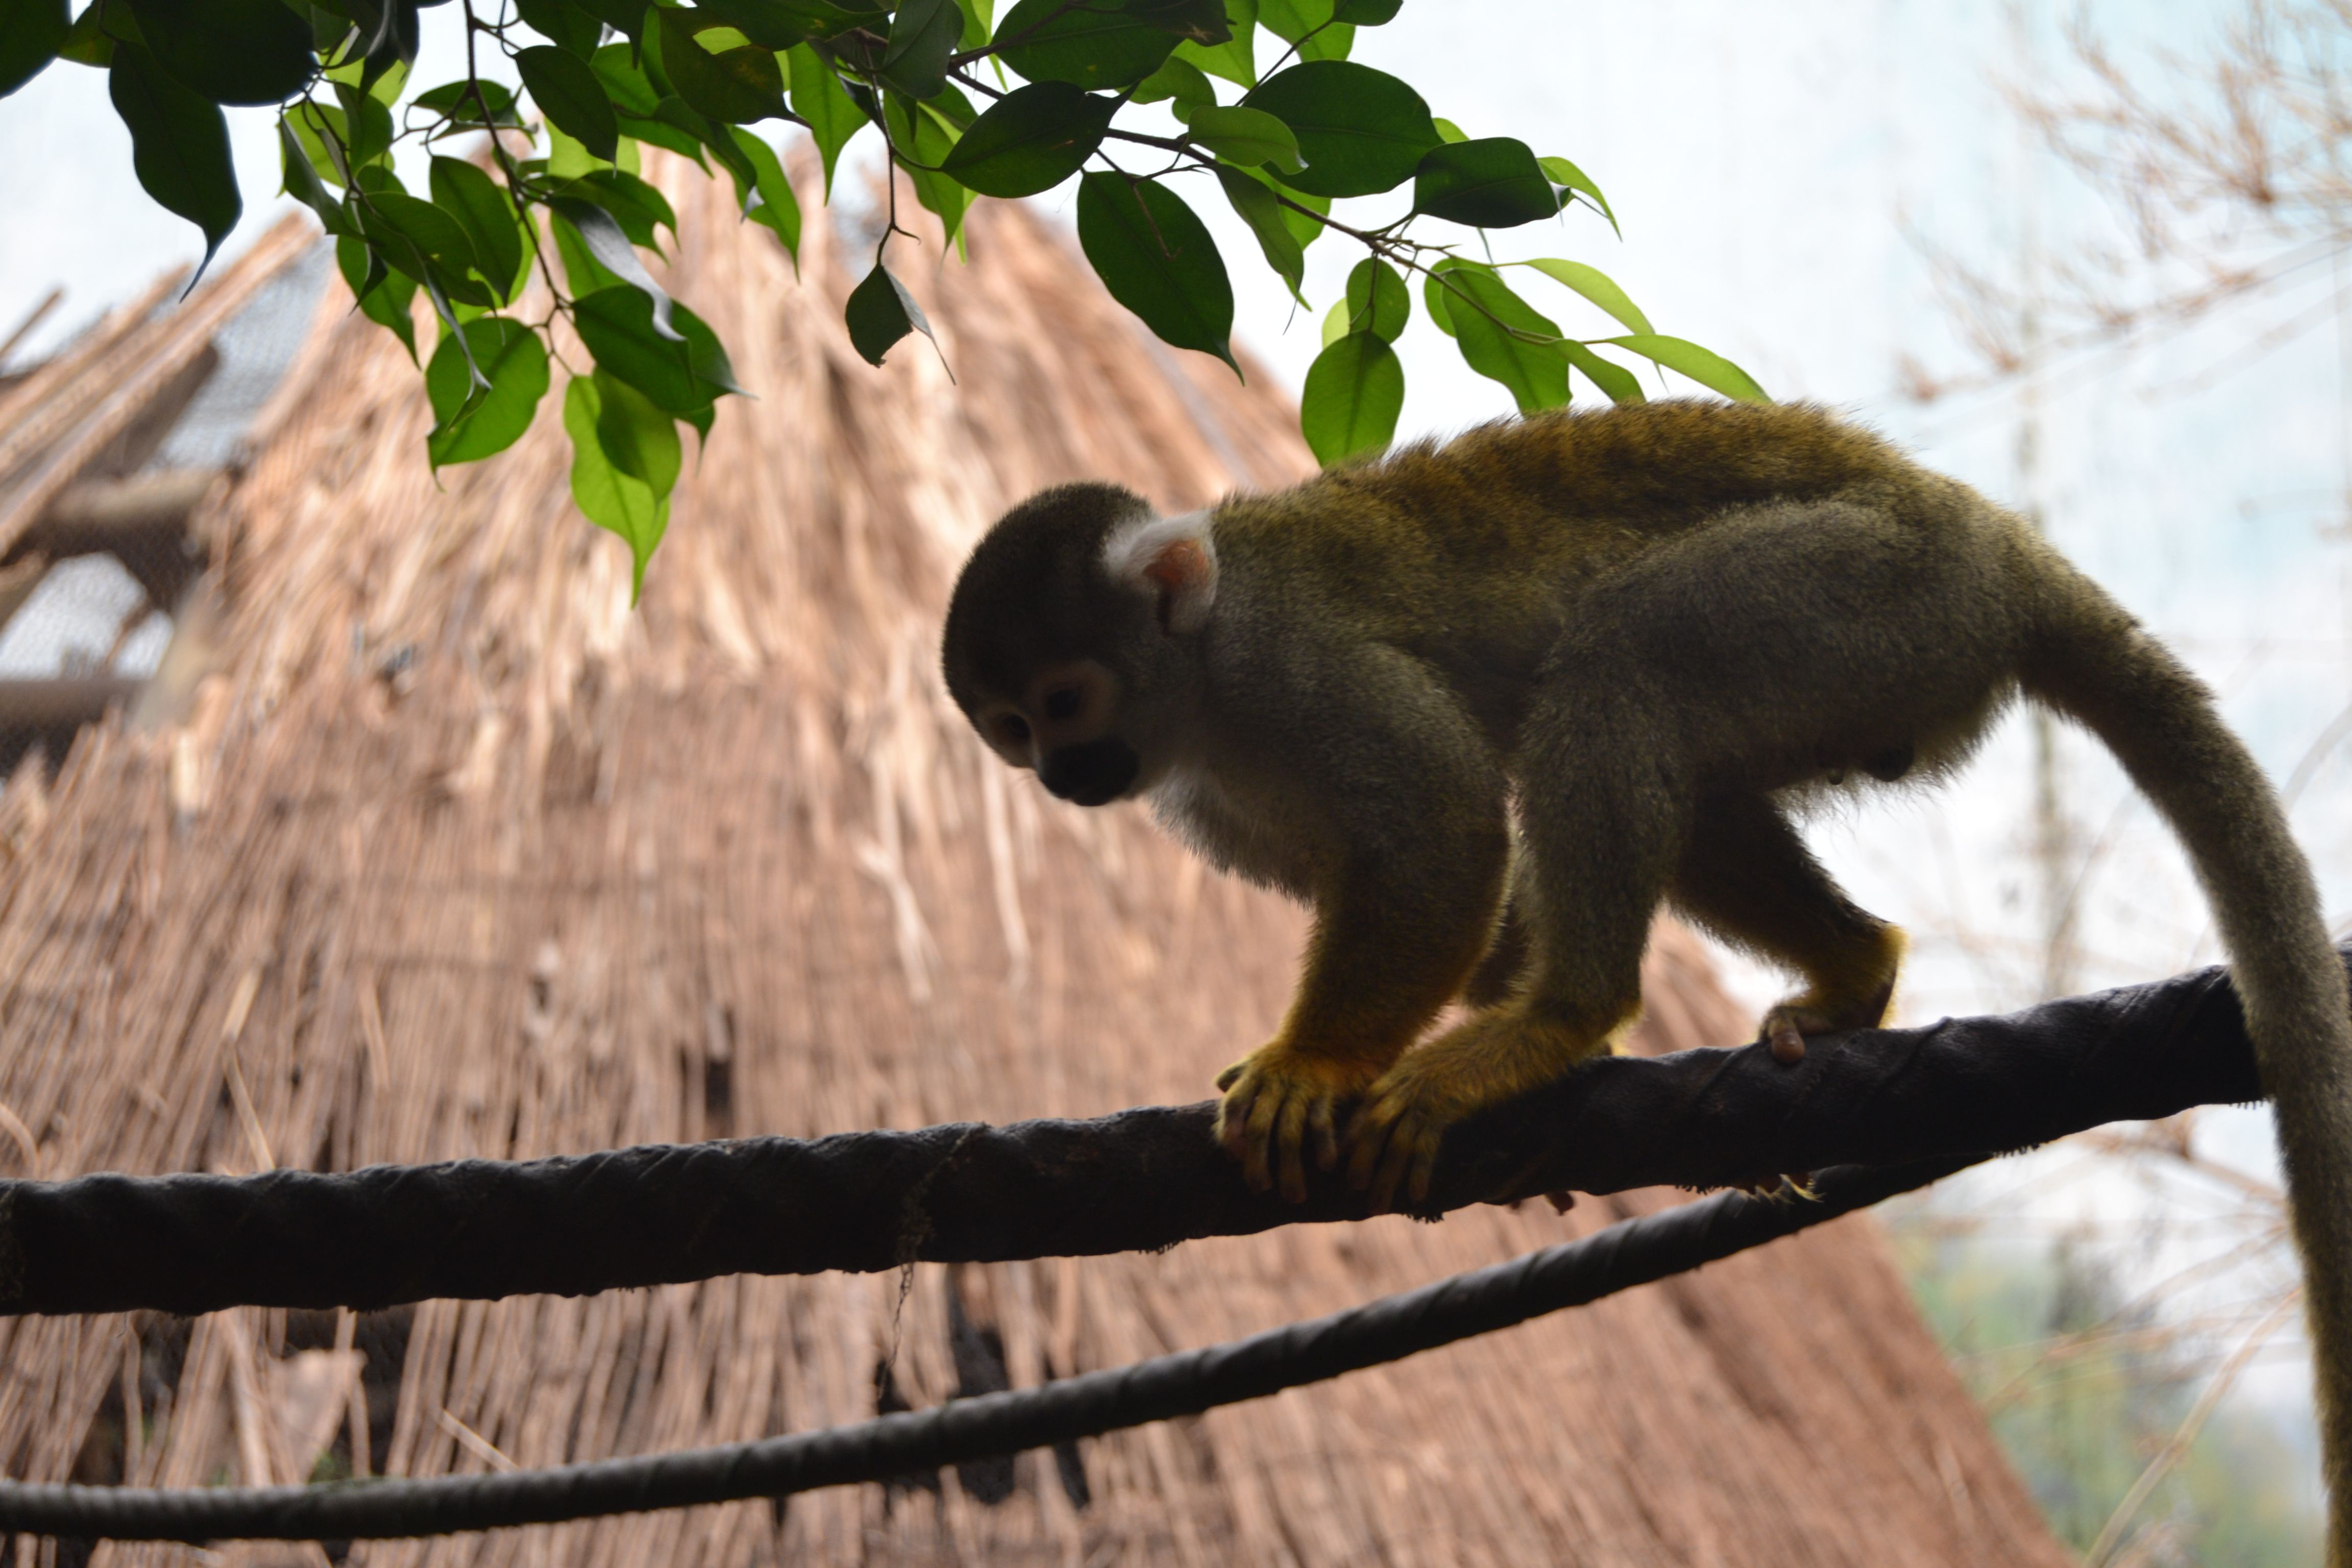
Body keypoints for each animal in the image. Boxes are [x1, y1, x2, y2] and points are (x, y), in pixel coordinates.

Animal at [936, 402, 2352, 1561]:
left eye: (1067, 699)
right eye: (1011, 732)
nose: (1060, 776)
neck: (1201, 680)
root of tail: (1998, 546)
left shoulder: (1289, 665)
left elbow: (1443, 826)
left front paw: (1315, 1064)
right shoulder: (1206, 791)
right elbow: (1481, 904)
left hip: (1873, 591)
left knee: (1628, 649)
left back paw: (1565, 1017)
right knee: (1682, 743)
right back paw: (1846, 969)